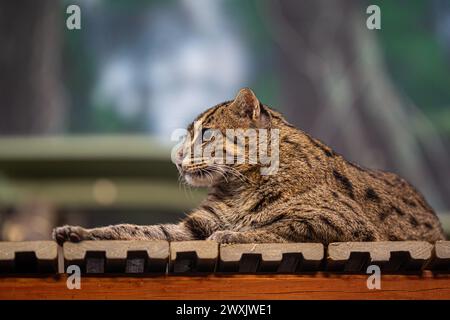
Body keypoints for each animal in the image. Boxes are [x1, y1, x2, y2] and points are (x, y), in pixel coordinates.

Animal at [53, 89, 446, 244]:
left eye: (206, 133)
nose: (176, 157)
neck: (241, 185)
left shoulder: (343, 223)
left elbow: (277, 229)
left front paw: (235, 234)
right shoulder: (193, 228)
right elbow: (134, 229)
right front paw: (79, 232)